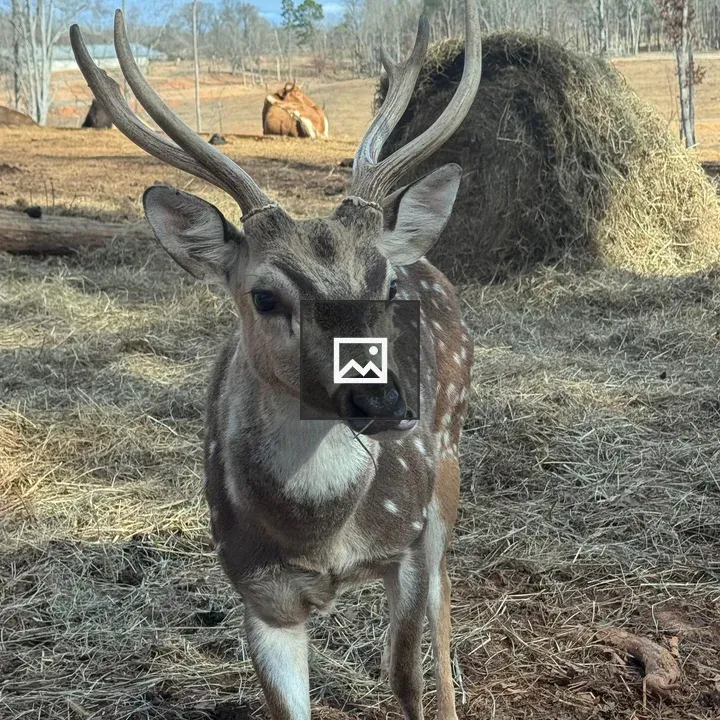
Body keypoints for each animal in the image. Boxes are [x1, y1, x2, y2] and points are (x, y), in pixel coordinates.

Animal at [70, 3, 480, 718]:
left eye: (385, 284)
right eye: (264, 295)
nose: (383, 400)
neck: (323, 539)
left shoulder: (404, 543)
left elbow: (406, 681)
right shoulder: (258, 594)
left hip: (448, 460)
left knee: (445, 605)